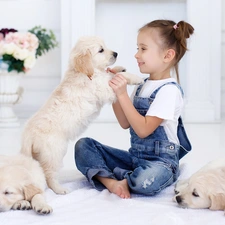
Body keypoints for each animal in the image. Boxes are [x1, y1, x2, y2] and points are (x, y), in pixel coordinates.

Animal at [20, 36, 143, 194]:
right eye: (101, 50)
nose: (116, 54)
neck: (85, 72)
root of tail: (28, 135)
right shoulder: (103, 88)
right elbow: (114, 78)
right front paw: (135, 77)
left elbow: (110, 73)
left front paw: (119, 68)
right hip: (54, 152)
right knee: (48, 173)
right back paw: (60, 189)